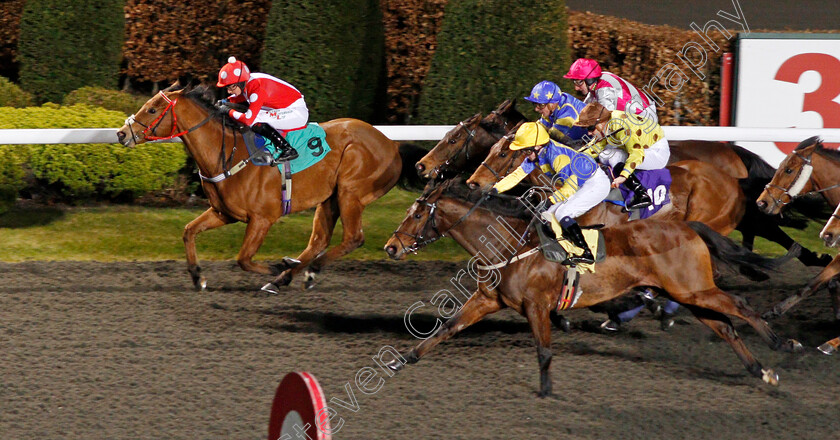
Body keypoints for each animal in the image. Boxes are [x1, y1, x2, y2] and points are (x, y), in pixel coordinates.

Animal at [115, 85, 424, 292]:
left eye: (152, 109)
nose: (121, 133)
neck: (229, 153)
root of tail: (391, 144)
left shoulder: (262, 219)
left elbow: (243, 258)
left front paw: (277, 265)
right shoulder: (223, 212)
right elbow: (189, 231)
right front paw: (197, 277)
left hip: (351, 192)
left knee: (353, 238)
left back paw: (299, 271)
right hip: (330, 197)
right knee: (319, 241)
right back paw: (287, 275)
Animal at [380, 179, 800, 396]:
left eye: (416, 214)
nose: (391, 247)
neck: (510, 245)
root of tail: (687, 226)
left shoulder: (537, 305)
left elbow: (544, 351)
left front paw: (546, 391)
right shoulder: (487, 300)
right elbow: (445, 329)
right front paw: (402, 360)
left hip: (693, 289)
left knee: (741, 304)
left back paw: (786, 345)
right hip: (685, 293)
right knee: (726, 327)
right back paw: (761, 371)